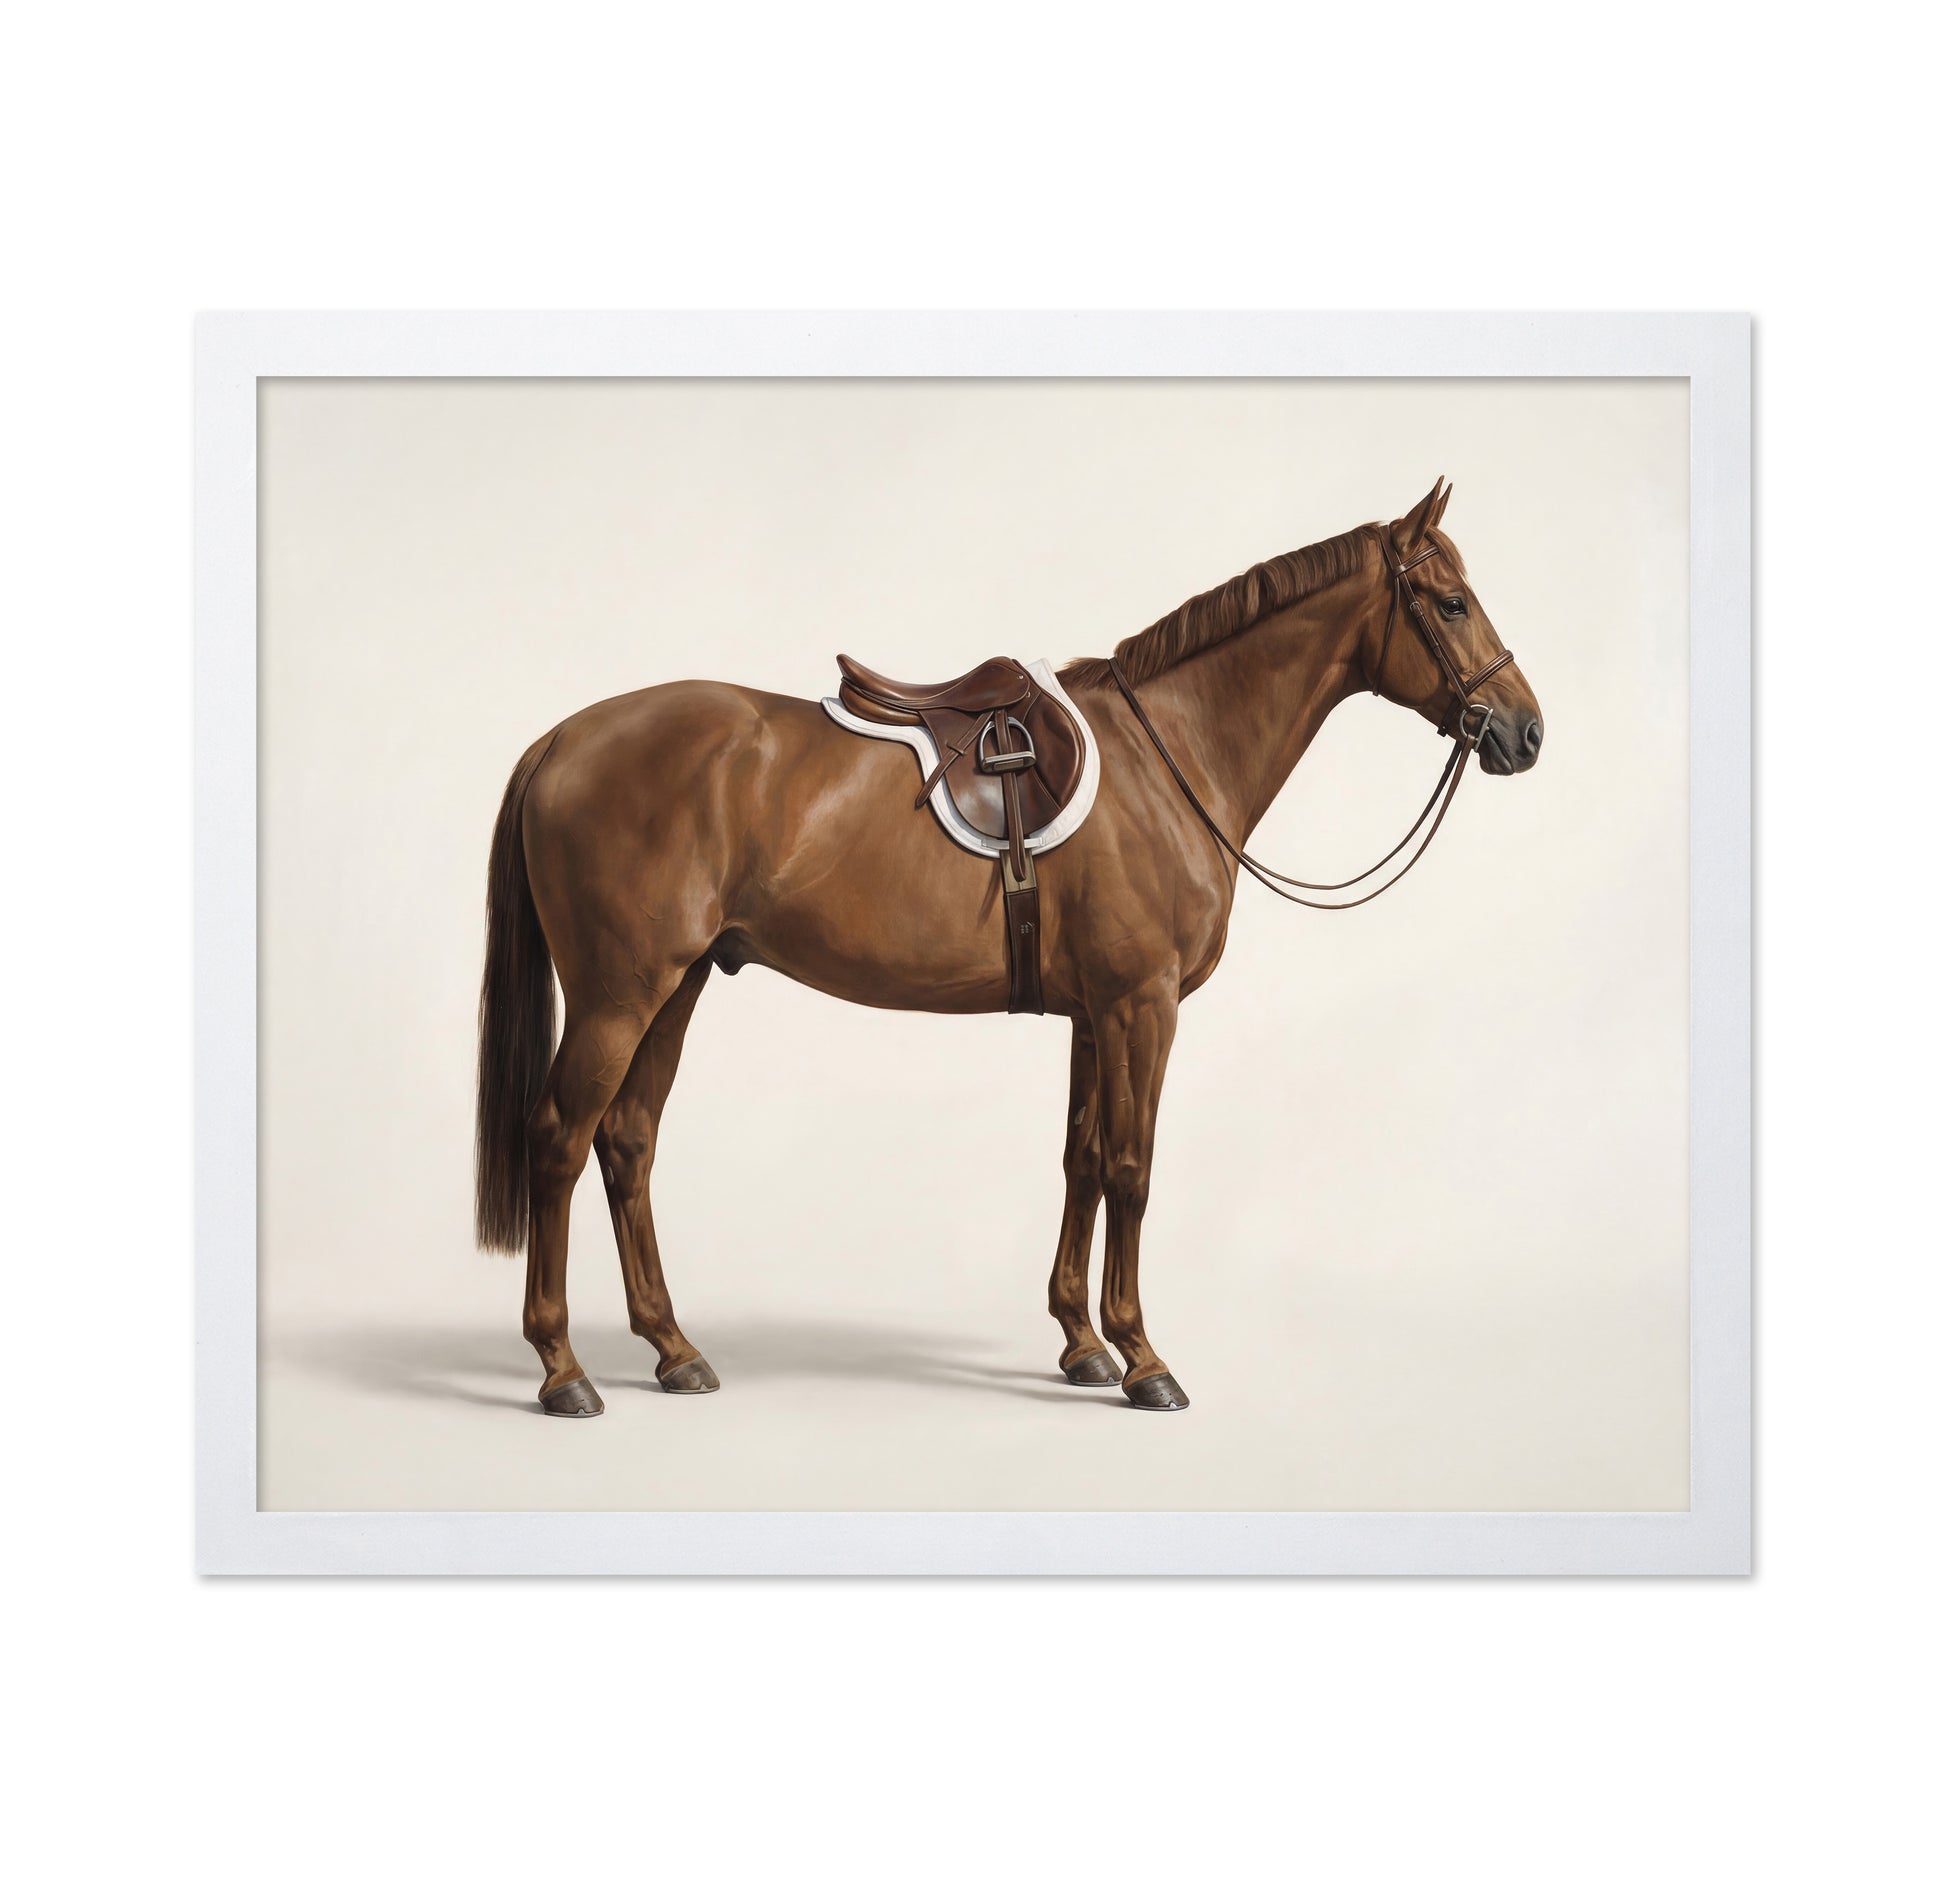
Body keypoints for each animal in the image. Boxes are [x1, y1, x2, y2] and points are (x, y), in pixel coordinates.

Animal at [473, 478, 1544, 1415]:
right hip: (620, 993)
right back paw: (563, 1369)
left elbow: (1082, 1156)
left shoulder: (1093, 1012)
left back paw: (674, 1349)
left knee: (627, 1140)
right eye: (1451, 603)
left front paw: (1081, 1342)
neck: (1170, 758)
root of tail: (562, 739)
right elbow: (1132, 1168)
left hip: (679, 983)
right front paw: (1144, 1358)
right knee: (559, 1138)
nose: (1526, 732)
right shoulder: (1143, 1003)